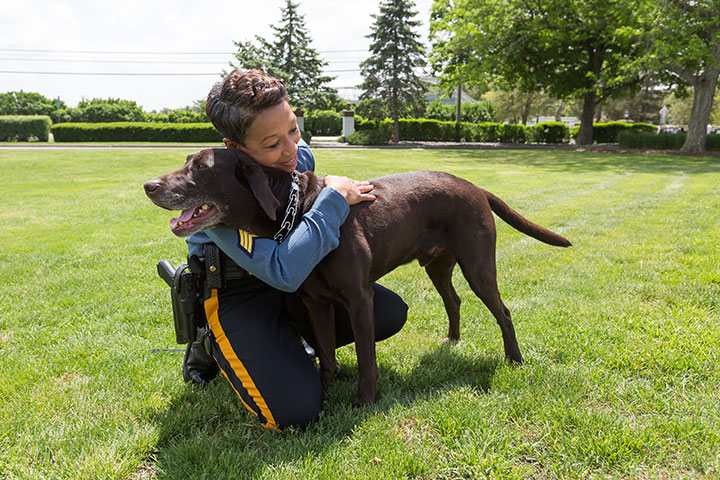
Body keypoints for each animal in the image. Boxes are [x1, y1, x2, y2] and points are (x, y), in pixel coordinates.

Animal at [145, 149, 572, 404]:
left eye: (201, 167)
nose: (149, 185)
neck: (299, 211)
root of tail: (476, 187)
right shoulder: (316, 303)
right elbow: (326, 356)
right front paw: (324, 392)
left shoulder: (359, 299)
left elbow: (366, 358)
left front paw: (364, 401)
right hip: (438, 266)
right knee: (454, 300)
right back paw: (452, 340)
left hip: (478, 265)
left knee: (503, 311)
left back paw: (514, 359)